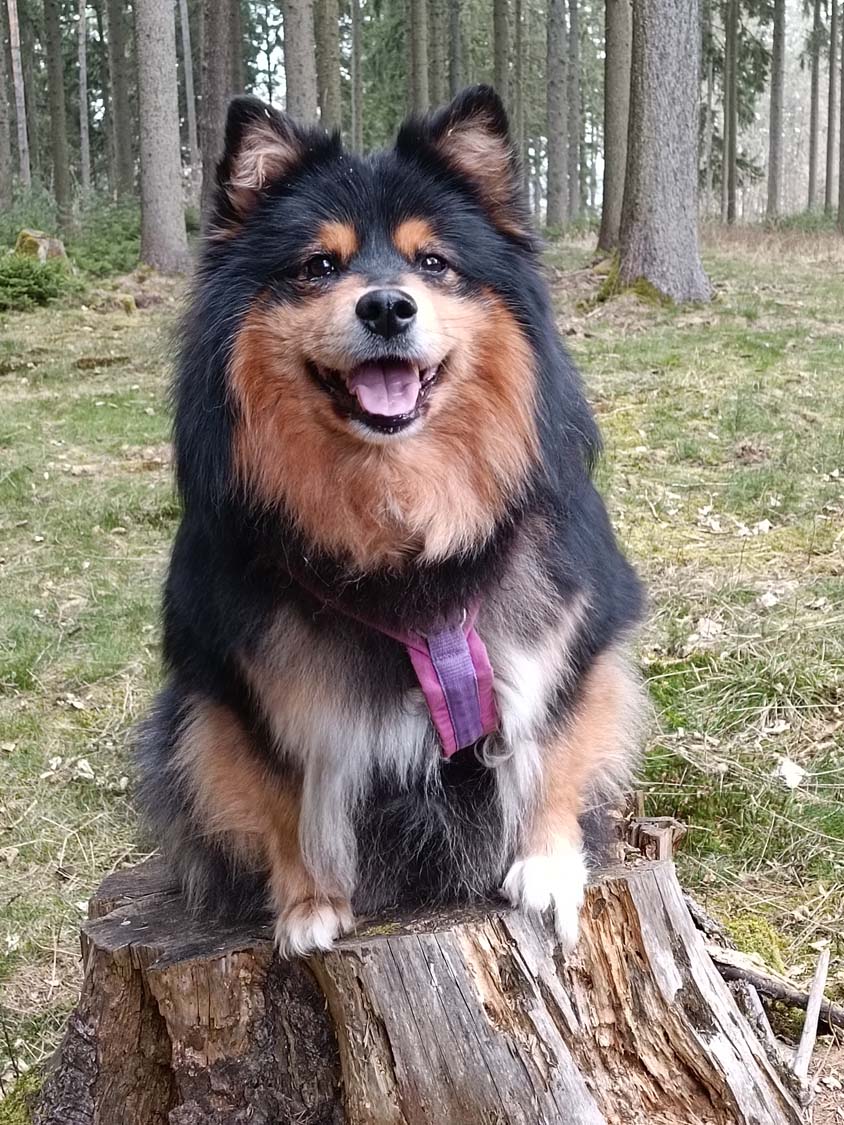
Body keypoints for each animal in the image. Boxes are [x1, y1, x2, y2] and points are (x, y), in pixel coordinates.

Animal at [136, 85, 644, 957]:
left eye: (433, 262)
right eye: (320, 266)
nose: (385, 306)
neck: (401, 519)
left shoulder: (574, 628)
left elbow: (555, 743)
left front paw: (546, 864)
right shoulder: (235, 685)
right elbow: (284, 796)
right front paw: (309, 904)